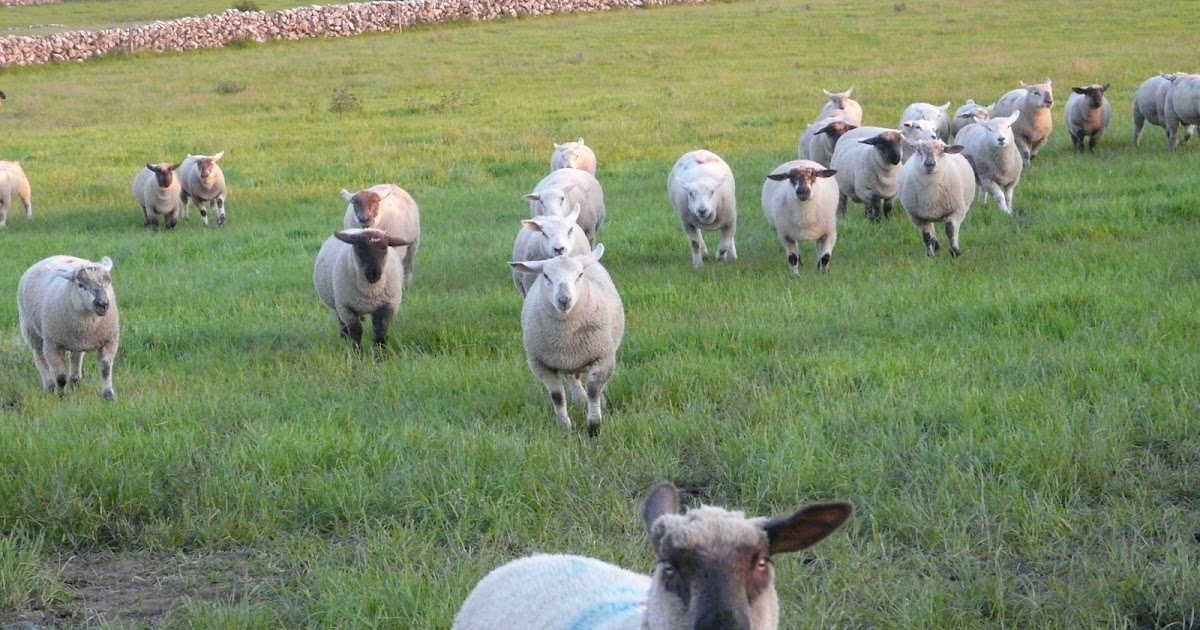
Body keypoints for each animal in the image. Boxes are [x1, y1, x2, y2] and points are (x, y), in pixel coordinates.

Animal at [17, 255, 120, 401]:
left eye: (108, 281)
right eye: (81, 284)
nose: (103, 304)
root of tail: (53, 257)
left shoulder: (110, 340)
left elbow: (105, 369)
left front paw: (109, 396)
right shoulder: (52, 345)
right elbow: (60, 376)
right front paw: (61, 396)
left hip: (74, 341)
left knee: (76, 357)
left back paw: (75, 381)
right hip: (31, 330)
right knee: (40, 358)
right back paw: (50, 386)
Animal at [508, 244, 624, 437]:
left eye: (579, 275)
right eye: (546, 276)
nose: (564, 300)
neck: (566, 334)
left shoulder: (603, 357)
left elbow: (594, 389)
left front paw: (594, 426)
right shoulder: (540, 365)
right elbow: (557, 396)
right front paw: (564, 426)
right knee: (573, 379)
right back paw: (580, 398)